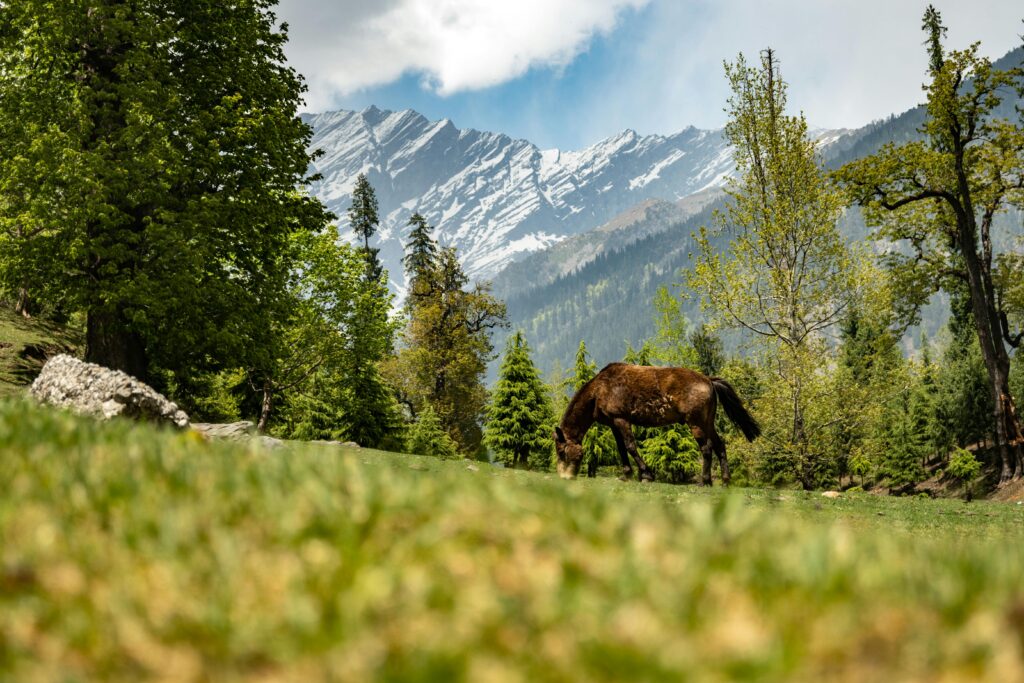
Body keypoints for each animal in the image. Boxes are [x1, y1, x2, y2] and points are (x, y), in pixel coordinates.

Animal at [552, 362, 761, 485]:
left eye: (561, 451)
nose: (565, 476)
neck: (600, 389)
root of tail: (708, 380)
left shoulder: (621, 420)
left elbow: (631, 446)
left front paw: (646, 475)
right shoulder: (614, 424)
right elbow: (622, 449)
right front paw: (627, 474)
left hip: (696, 423)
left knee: (707, 449)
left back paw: (705, 481)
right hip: (707, 423)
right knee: (719, 445)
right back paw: (725, 480)